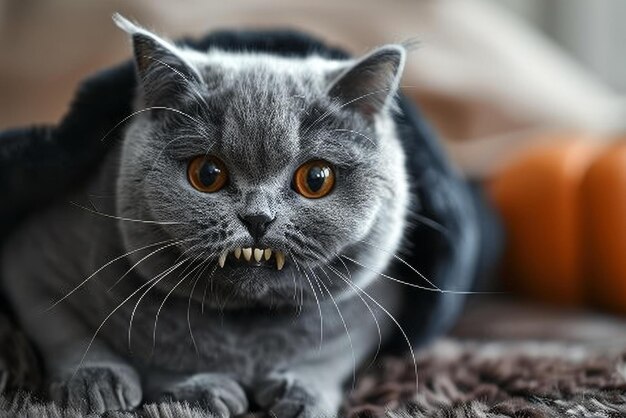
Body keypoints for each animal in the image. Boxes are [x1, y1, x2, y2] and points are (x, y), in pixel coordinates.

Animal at [2, 16, 416, 418]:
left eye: (316, 178)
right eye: (207, 173)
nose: (258, 218)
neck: (242, 330)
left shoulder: (375, 308)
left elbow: (333, 355)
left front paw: (301, 393)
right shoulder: (33, 261)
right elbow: (65, 330)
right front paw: (104, 382)